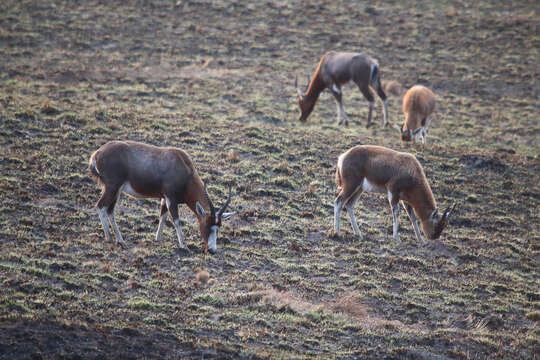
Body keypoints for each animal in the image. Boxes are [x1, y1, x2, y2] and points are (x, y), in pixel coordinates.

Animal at [88, 141, 234, 253]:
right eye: (207, 225)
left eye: (219, 226)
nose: (212, 250)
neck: (183, 165)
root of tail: (97, 153)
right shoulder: (171, 198)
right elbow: (176, 220)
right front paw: (184, 245)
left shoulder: (164, 197)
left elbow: (163, 215)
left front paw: (158, 238)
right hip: (112, 188)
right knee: (100, 206)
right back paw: (109, 238)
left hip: (116, 191)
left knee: (109, 210)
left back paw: (120, 241)